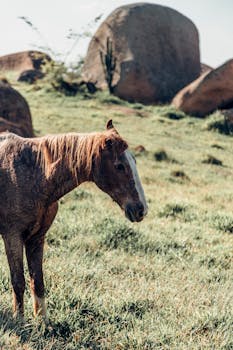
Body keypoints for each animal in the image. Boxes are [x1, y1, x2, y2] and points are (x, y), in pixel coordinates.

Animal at [0, 119, 147, 318]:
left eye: (134, 161)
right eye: (119, 166)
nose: (141, 209)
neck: (34, 175)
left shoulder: (36, 238)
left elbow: (37, 282)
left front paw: (43, 321)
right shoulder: (13, 237)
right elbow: (18, 282)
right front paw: (19, 320)